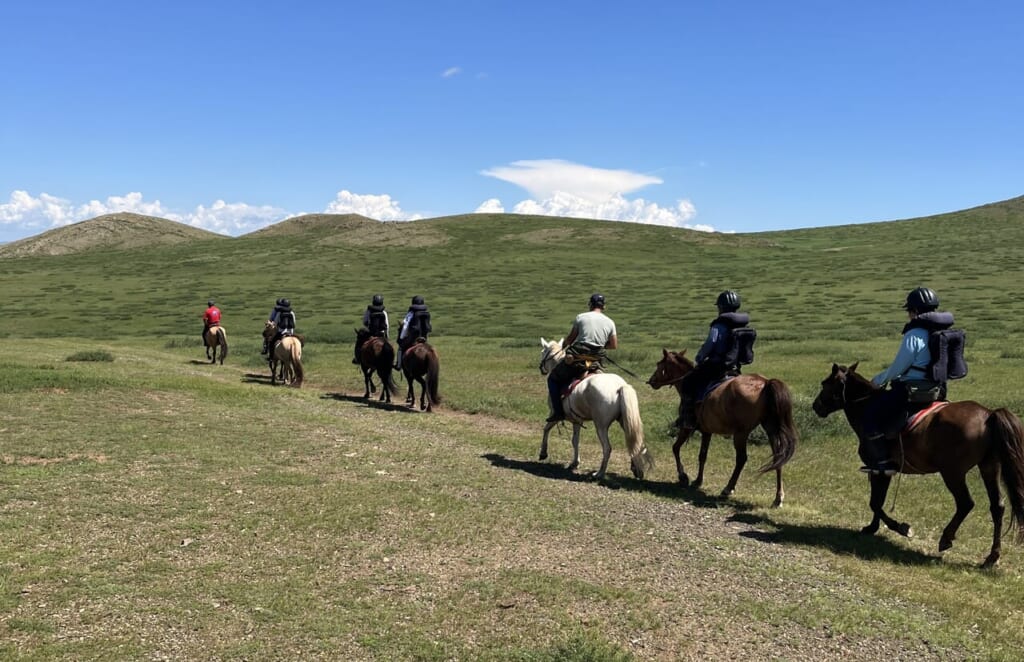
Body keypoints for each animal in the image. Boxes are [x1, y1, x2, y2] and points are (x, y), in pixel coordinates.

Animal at [540, 340, 651, 479]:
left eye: (542, 352)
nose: (541, 368)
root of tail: (620, 386)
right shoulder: (577, 420)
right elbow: (575, 440)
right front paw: (574, 463)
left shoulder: (555, 414)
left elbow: (546, 429)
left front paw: (543, 453)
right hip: (625, 421)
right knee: (635, 443)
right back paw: (637, 470)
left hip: (601, 426)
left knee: (607, 448)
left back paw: (599, 473)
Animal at [647, 352, 798, 508]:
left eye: (659, 364)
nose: (651, 381)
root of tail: (765, 383)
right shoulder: (707, 431)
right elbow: (702, 455)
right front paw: (698, 481)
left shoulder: (686, 427)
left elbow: (676, 448)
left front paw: (683, 476)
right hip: (770, 429)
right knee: (778, 457)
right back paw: (778, 498)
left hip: (741, 433)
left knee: (741, 459)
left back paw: (728, 489)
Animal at [811, 362, 1024, 569]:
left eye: (825, 383)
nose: (816, 406)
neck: (866, 406)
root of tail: (989, 415)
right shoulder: (881, 471)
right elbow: (877, 501)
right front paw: (872, 528)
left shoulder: (879, 468)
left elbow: (875, 503)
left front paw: (901, 528)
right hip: (989, 467)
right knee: (997, 507)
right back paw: (992, 557)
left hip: (953, 472)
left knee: (966, 503)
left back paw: (946, 539)